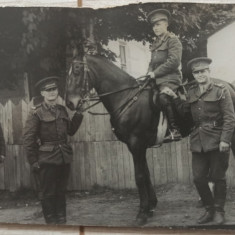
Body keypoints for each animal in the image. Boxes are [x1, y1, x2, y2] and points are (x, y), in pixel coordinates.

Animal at [65, 52, 235, 224]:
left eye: (77, 71)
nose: (70, 103)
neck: (127, 97)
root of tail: (228, 85)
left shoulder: (136, 144)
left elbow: (139, 177)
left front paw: (142, 213)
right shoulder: (136, 146)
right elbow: (146, 174)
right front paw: (151, 206)